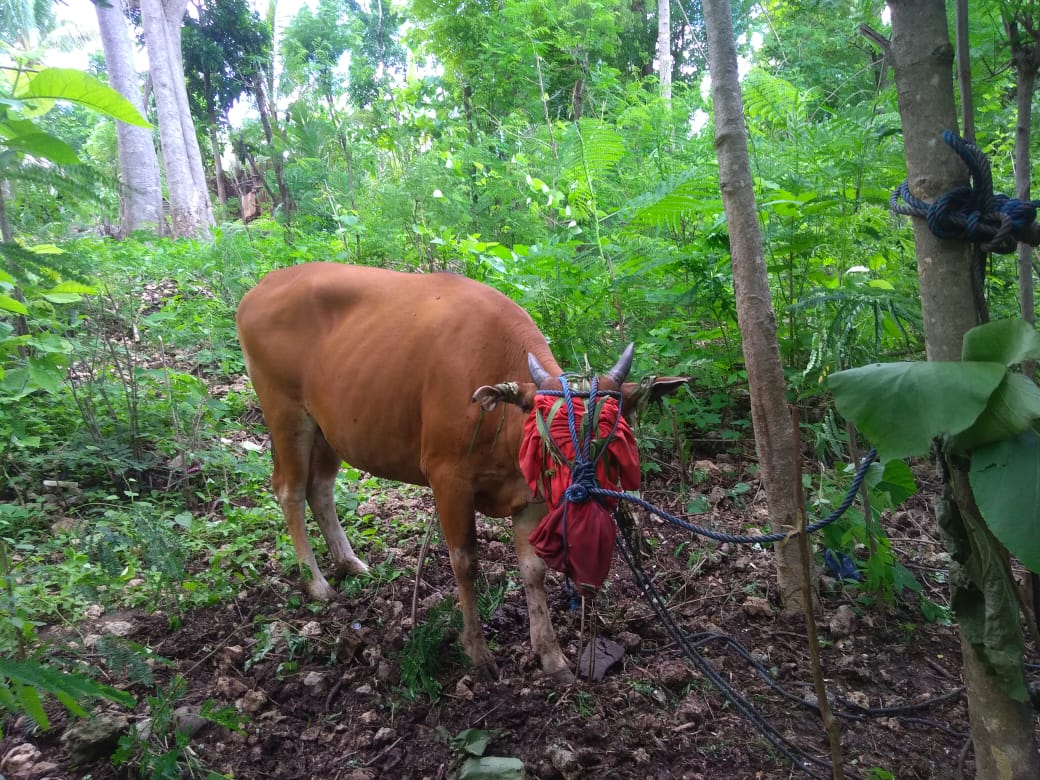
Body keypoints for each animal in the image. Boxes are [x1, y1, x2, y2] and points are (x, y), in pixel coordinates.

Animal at [238, 264, 686, 682]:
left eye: (614, 436)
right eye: (550, 436)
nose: (584, 499)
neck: (500, 422)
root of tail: (260, 289)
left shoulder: (530, 495)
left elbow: (534, 571)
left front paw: (551, 655)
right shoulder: (447, 479)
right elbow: (464, 561)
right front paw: (478, 650)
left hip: (329, 428)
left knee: (320, 488)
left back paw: (349, 562)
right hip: (285, 412)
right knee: (289, 490)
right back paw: (316, 583)